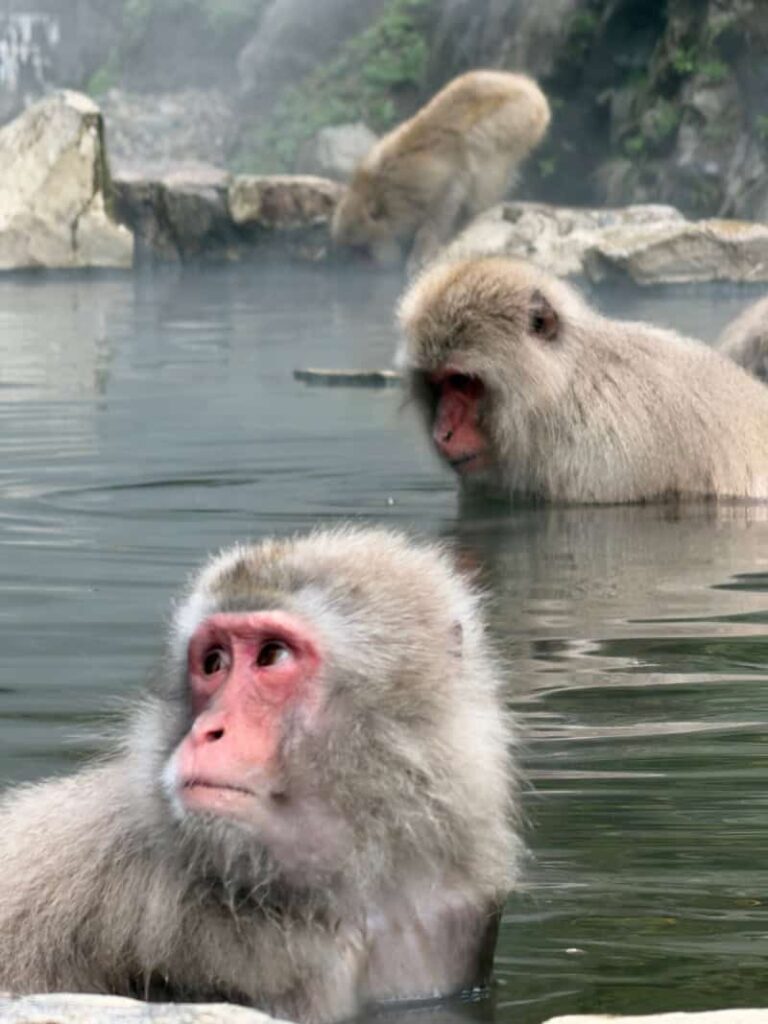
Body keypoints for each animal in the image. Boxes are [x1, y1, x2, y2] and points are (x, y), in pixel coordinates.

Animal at [331, 71, 550, 273]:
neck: (380, 187)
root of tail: (532, 90)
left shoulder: (429, 182)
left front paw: (422, 250)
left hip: (515, 119)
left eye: (361, 248)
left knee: (476, 145)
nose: (348, 261)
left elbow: (450, 194)